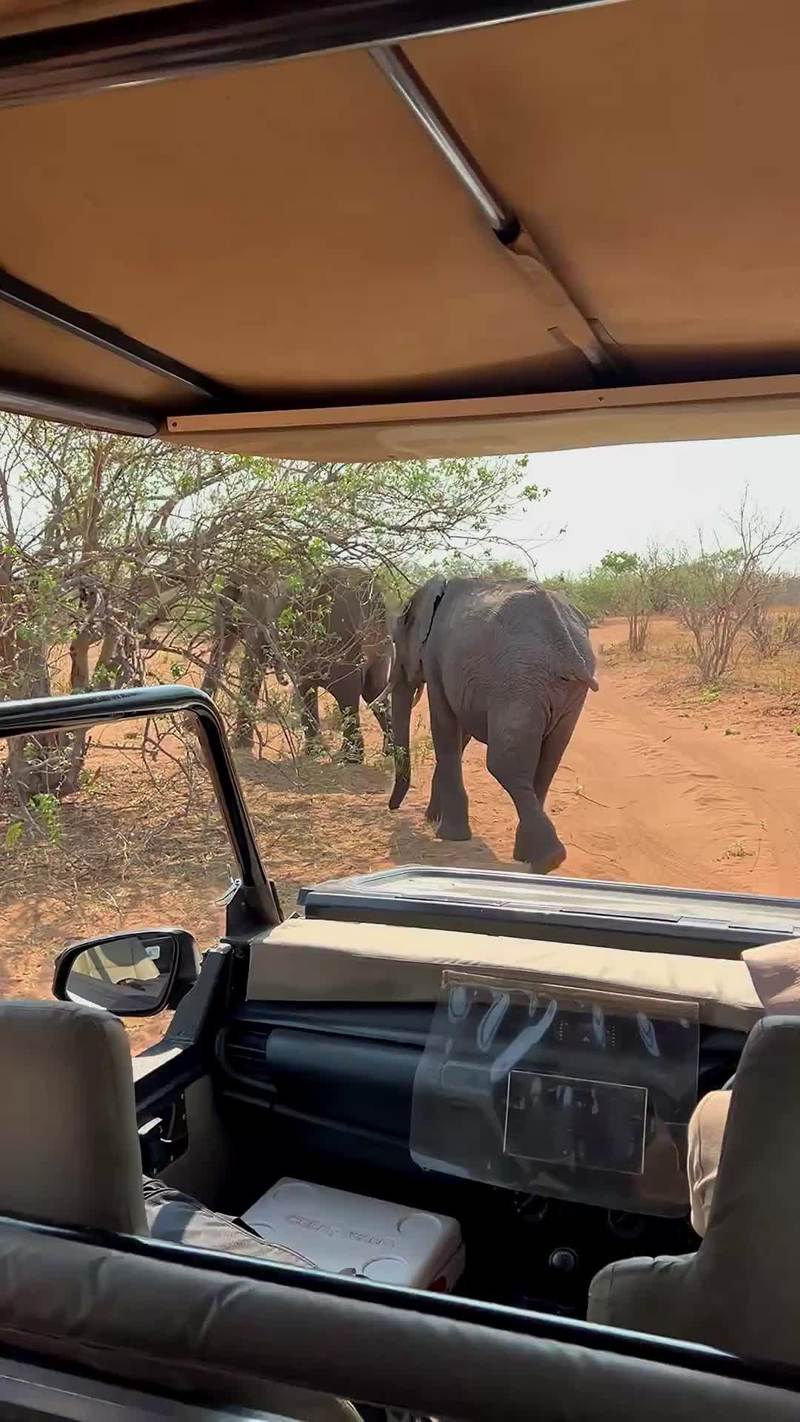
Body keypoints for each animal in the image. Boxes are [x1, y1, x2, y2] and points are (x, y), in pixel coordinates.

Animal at [202, 567, 392, 761]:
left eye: (226, 597)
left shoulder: (257, 610)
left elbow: (251, 667)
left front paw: (239, 745)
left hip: (343, 638)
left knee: (345, 692)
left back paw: (348, 757)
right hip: (377, 644)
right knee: (374, 690)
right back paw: (389, 752)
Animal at [384, 577, 598, 873]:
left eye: (395, 642)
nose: (392, 808)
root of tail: (565, 642)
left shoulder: (436, 656)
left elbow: (445, 725)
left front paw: (448, 835)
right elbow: (459, 734)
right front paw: (434, 820)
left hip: (519, 682)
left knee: (504, 765)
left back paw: (547, 860)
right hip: (565, 691)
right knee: (547, 763)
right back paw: (530, 856)